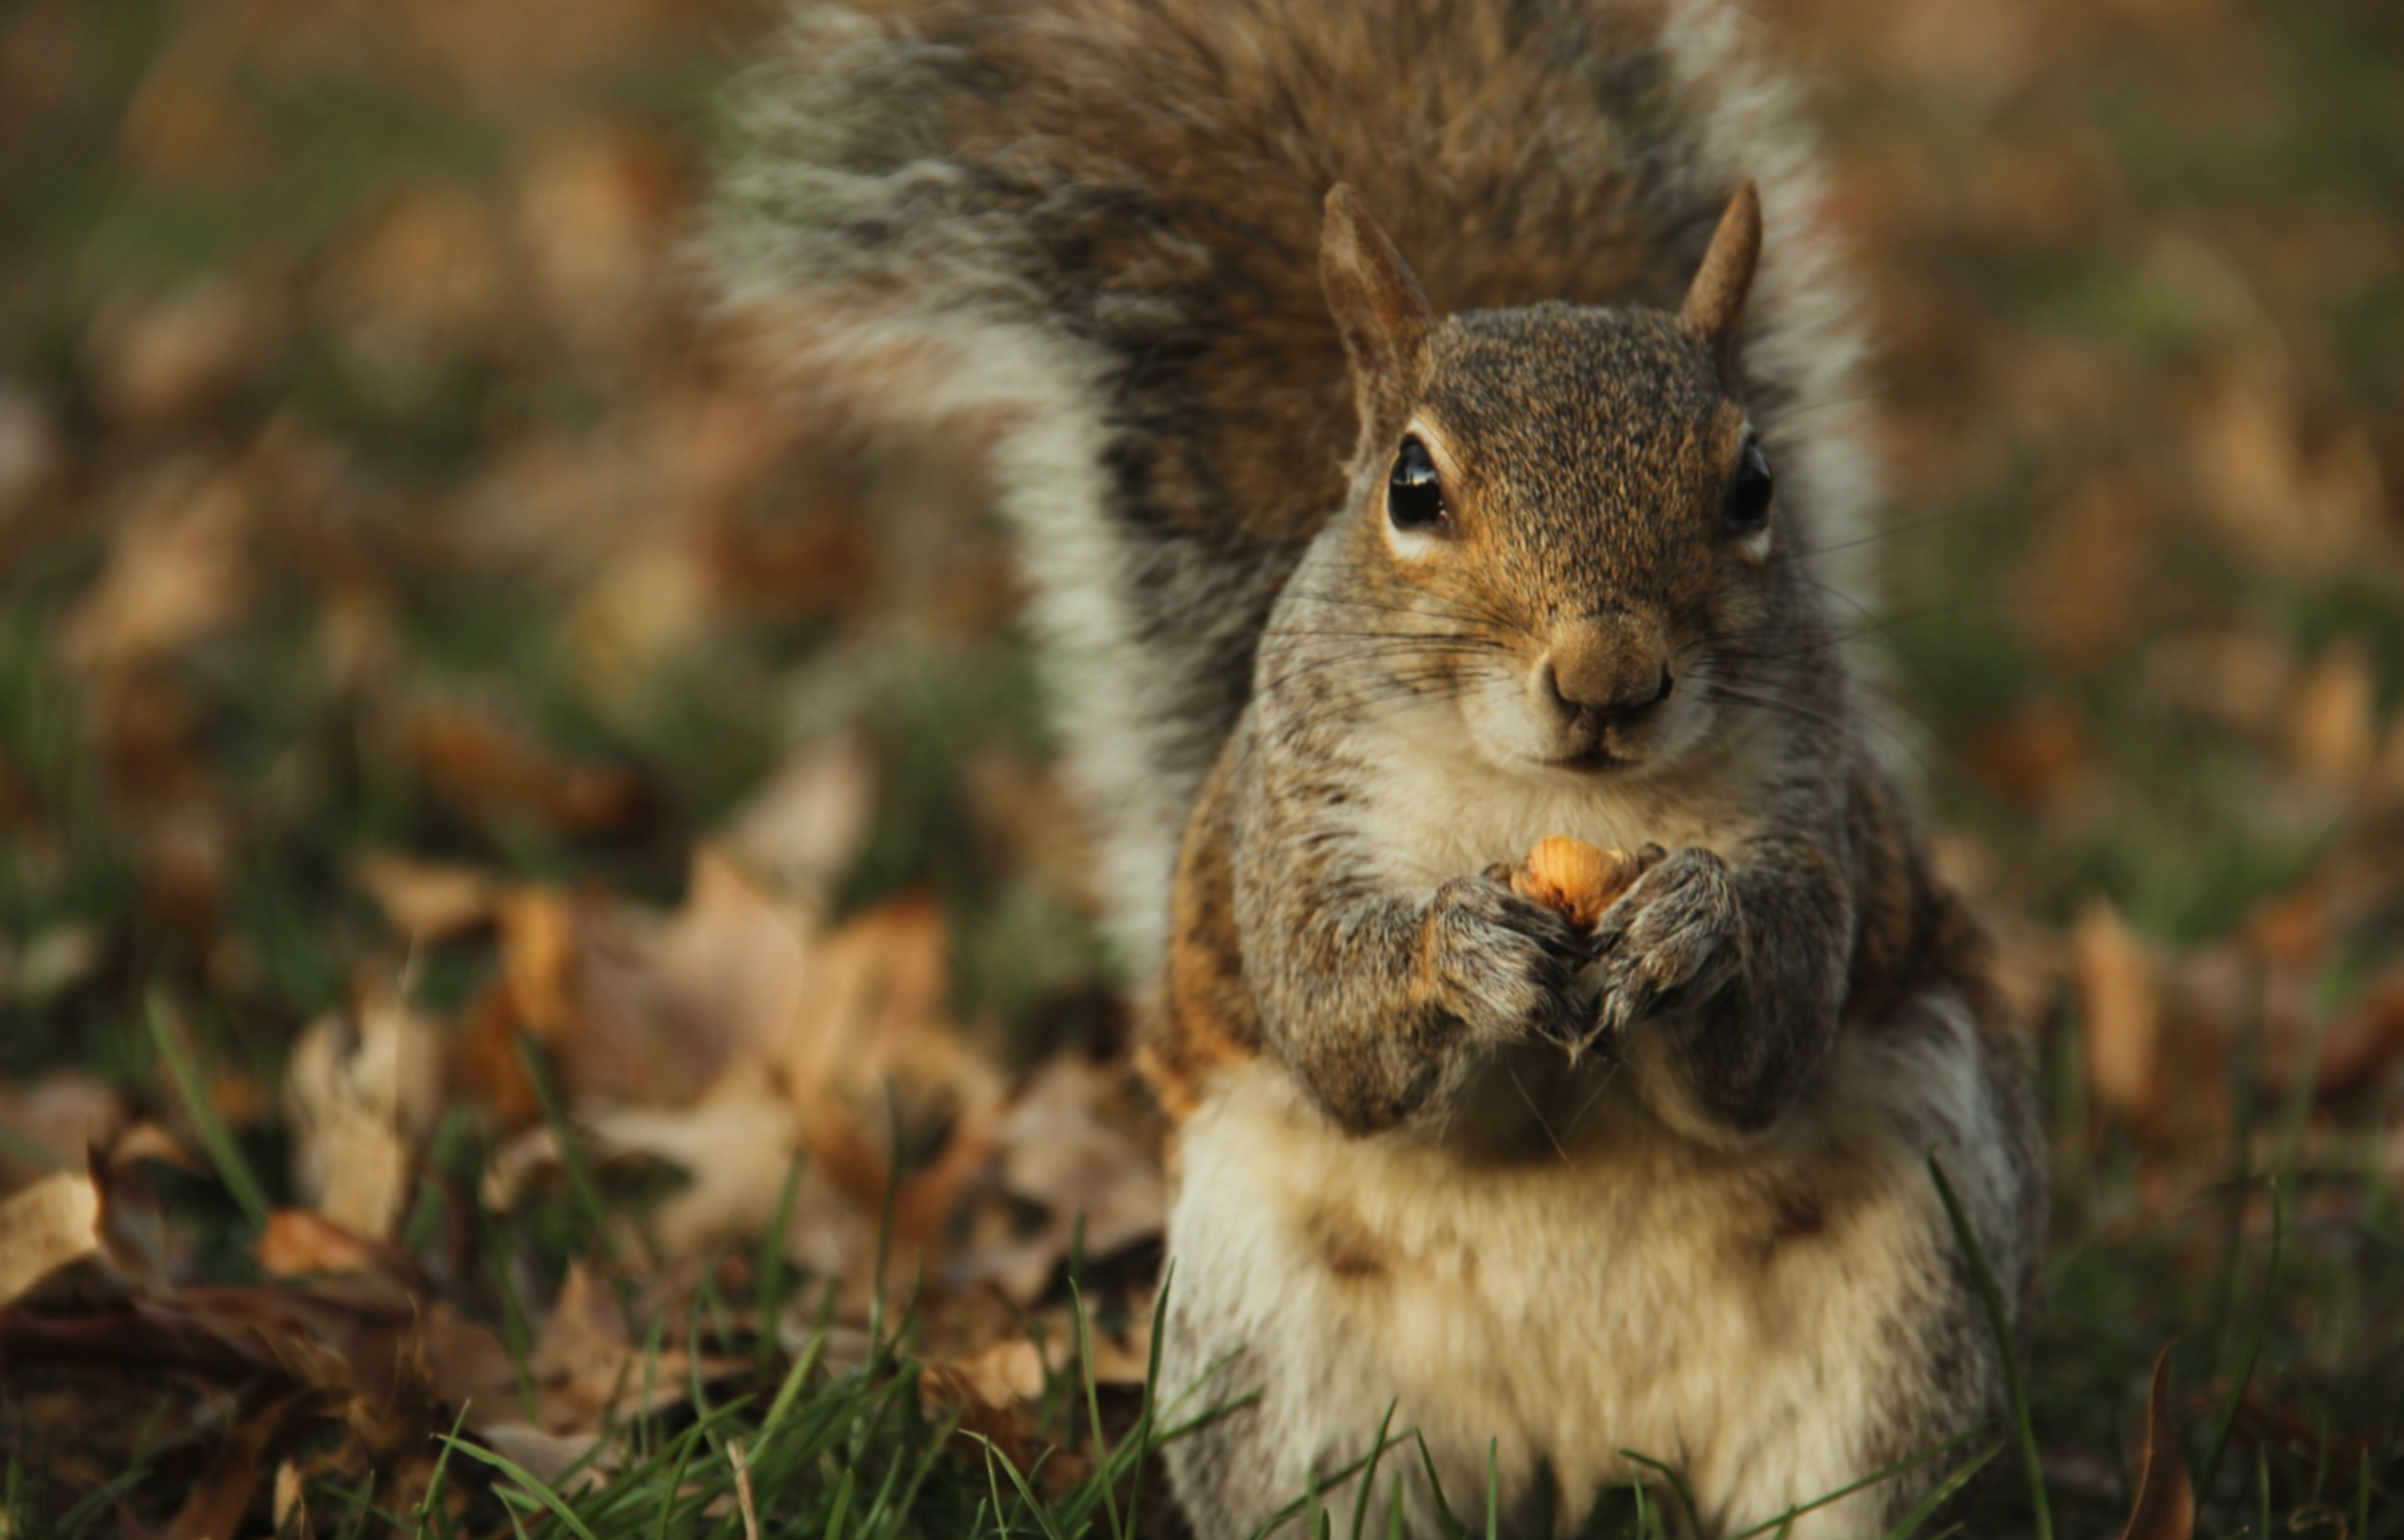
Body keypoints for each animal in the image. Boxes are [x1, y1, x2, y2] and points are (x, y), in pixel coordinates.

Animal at [706, 6, 2048, 1527]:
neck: (1555, 800)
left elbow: (1776, 1031)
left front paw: (1694, 923)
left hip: (1903, 1312)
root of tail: (1587, 1446)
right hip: (1287, 1371)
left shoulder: (1812, 805)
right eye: (1413, 487)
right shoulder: (1296, 809)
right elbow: (1330, 1013)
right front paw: (1458, 950)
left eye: (1754, 484)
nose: (1607, 680)